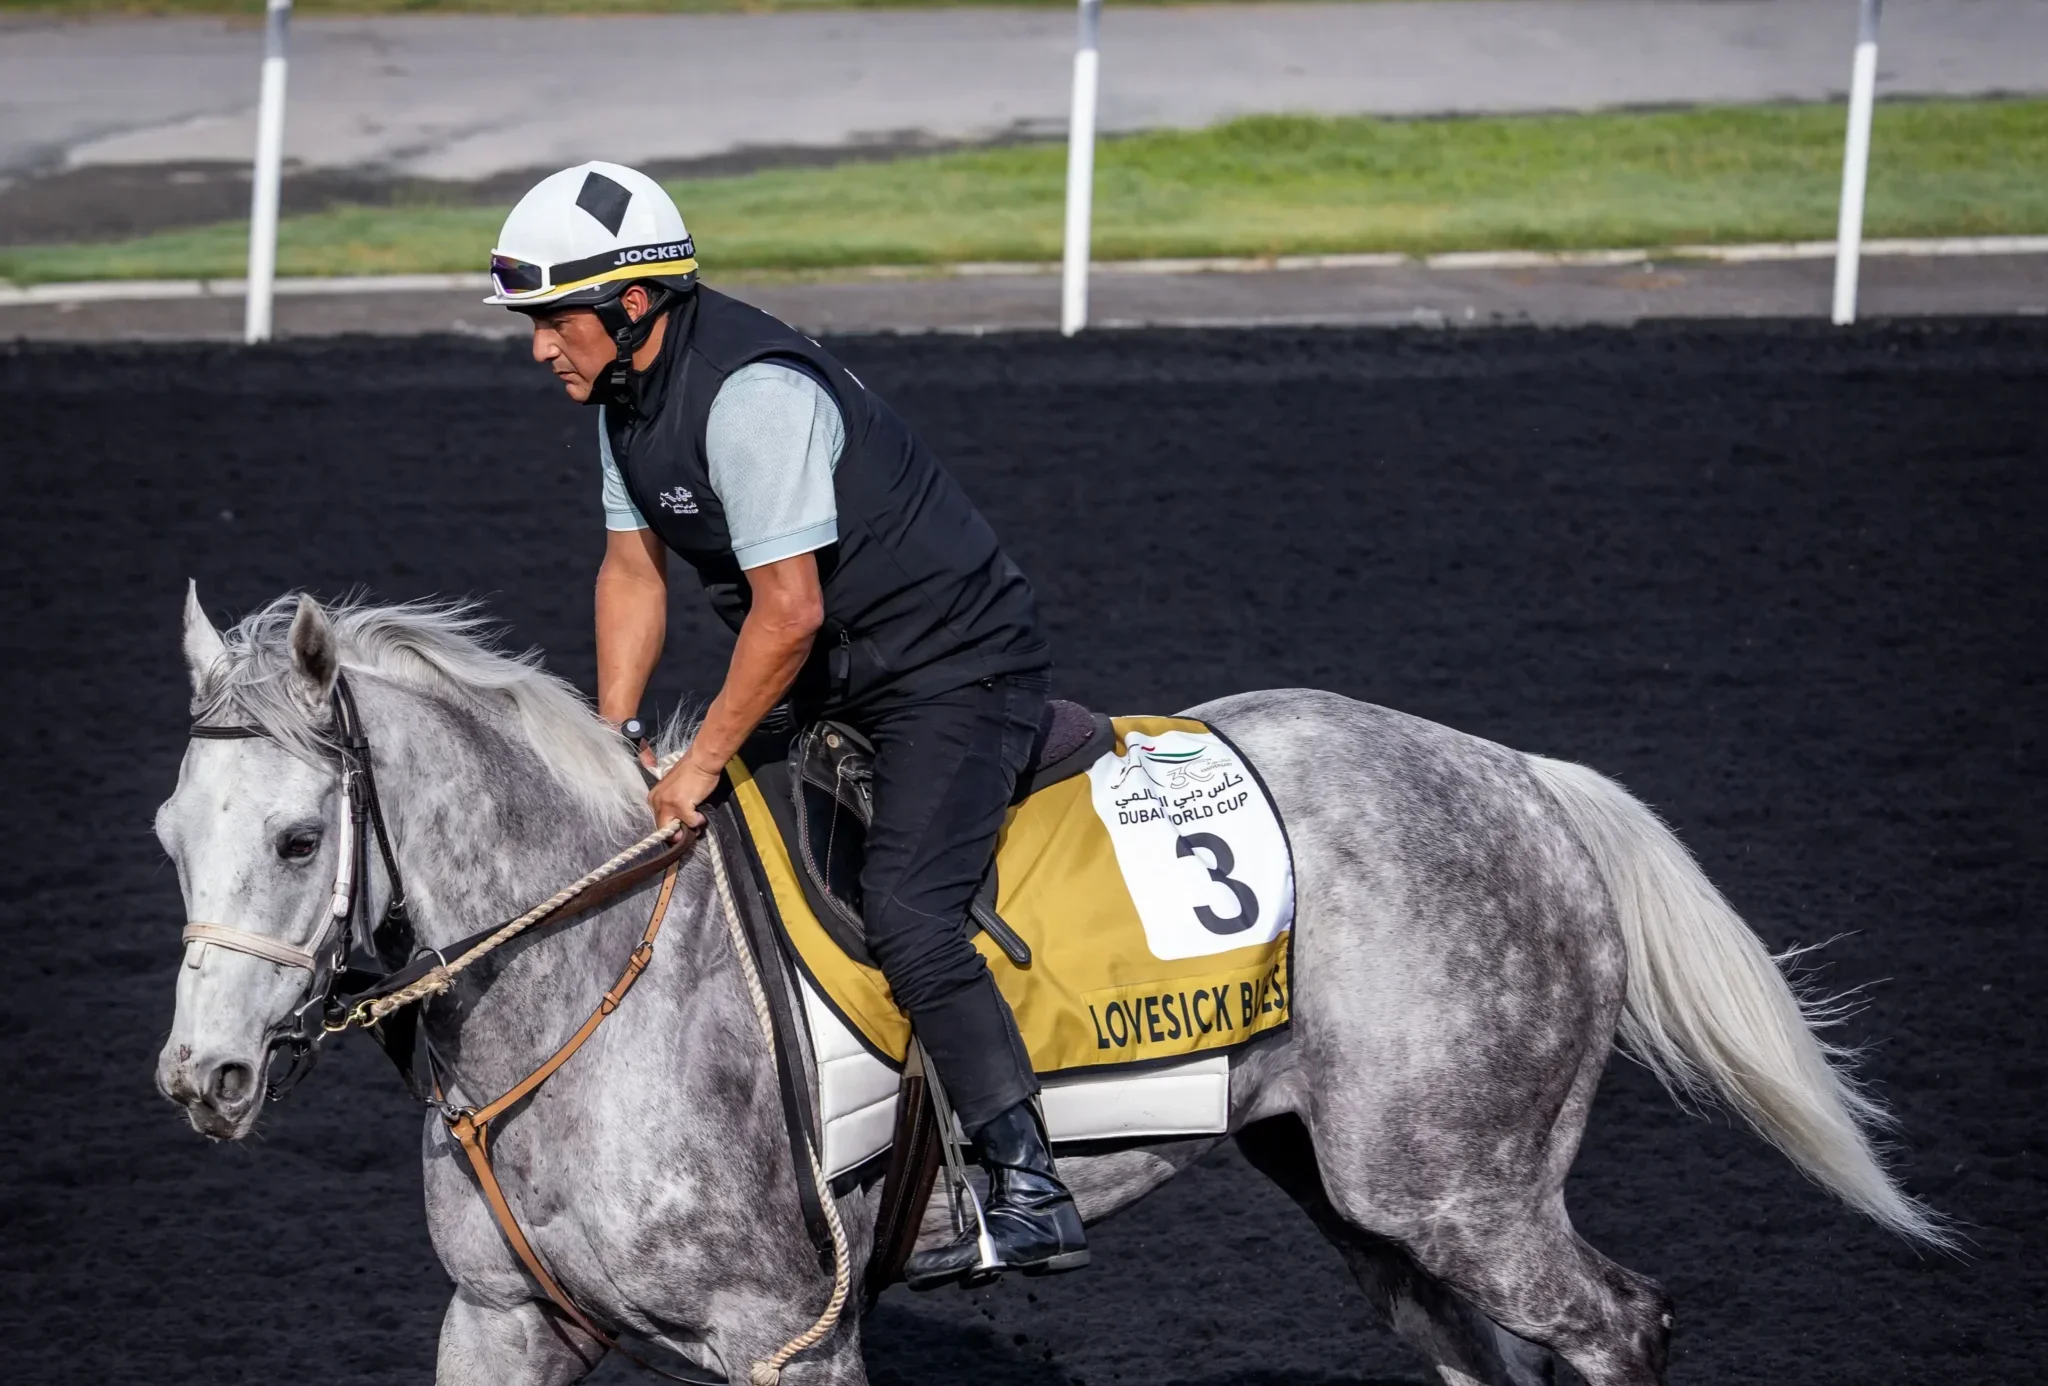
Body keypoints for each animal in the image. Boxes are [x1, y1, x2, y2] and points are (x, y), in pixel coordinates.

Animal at [154, 587, 1944, 1386]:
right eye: (173, 833)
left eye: (301, 836)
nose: (200, 1082)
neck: (588, 974)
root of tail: (1522, 780)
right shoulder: (504, 1319)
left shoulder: (786, 1336)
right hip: (1372, 1197)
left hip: (1468, 1187)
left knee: (1620, 1324)